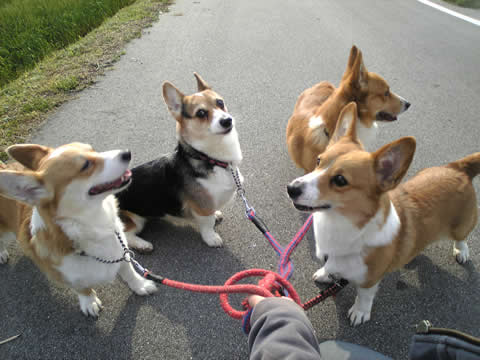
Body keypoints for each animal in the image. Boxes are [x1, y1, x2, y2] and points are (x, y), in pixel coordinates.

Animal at [0, 143, 158, 318]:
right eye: (85, 165)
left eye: (93, 150)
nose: (127, 153)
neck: (96, 222)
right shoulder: (66, 275)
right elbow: (81, 288)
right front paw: (89, 302)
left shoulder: (121, 252)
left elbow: (129, 271)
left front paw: (140, 285)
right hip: (4, 232)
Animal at [118, 74, 242, 250]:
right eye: (201, 113)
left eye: (220, 102)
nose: (227, 120)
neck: (209, 158)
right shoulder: (201, 208)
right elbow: (207, 223)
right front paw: (211, 238)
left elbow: (212, 214)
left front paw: (216, 214)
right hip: (134, 219)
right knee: (125, 236)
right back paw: (143, 245)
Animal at [286, 103, 478, 326]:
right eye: (318, 161)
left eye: (340, 180)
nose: (291, 188)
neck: (340, 224)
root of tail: (459, 168)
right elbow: (330, 268)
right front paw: (326, 273)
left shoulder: (370, 279)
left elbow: (364, 296)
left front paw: (360, 312)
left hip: (461, 225)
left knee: (462, 238)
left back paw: (461, 251)